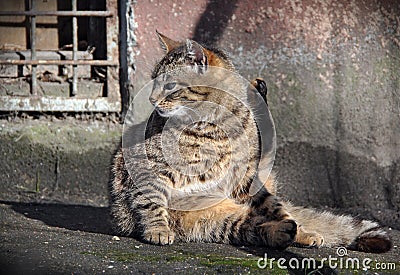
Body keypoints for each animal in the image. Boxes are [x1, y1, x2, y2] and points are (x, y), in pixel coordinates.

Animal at [108, 31, 390, 253]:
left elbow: (275, 206)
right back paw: (282, 232)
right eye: (153, 82)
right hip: (214, 221)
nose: (152, 100)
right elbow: (151, 200)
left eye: (169, 86)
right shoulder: (146, 166)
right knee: (252, 227)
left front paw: (300, 230)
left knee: (279, 208)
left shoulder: (245, 176)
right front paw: (157, 229)